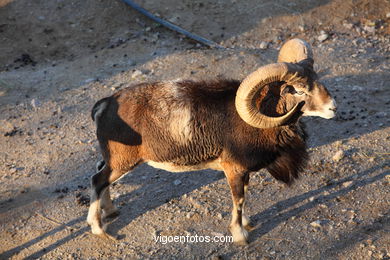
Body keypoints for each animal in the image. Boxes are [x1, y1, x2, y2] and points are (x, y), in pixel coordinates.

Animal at [87, 38, 336, 244]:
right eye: (299, 90)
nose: (332, 108)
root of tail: (106, 105)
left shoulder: (242, 172)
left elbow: (244, 198)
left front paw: (247, 224)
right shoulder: (234, 170)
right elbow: (238, 201)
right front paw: (240, 236)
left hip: (116, 163)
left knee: (102, 177)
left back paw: (111, 212)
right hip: (123, 163)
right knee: (98, 180)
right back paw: (99, 230)